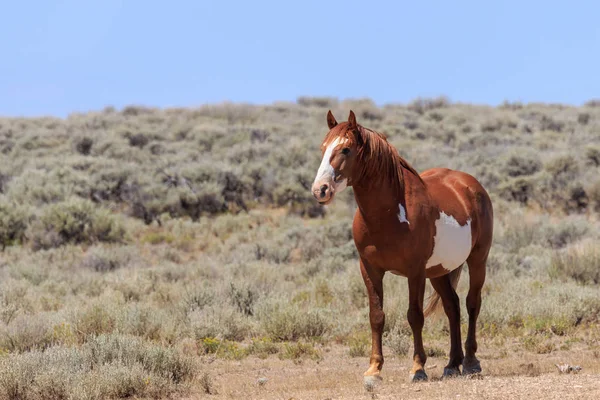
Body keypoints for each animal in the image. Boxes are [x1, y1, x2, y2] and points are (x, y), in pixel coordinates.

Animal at [310, 109, 492, 384]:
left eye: (346, 149)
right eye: (323, 147)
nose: (320, 190)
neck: (388, 215)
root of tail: (470, 185)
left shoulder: (415, 272)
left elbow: (414, 316)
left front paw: (418, 368)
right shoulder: (370, 270)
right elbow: (376, 316)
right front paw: (374, 369)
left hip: (477, 259)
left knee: (472, 303)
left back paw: (471, 362)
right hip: (438, 272)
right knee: (452, 306)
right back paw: (452, 363)